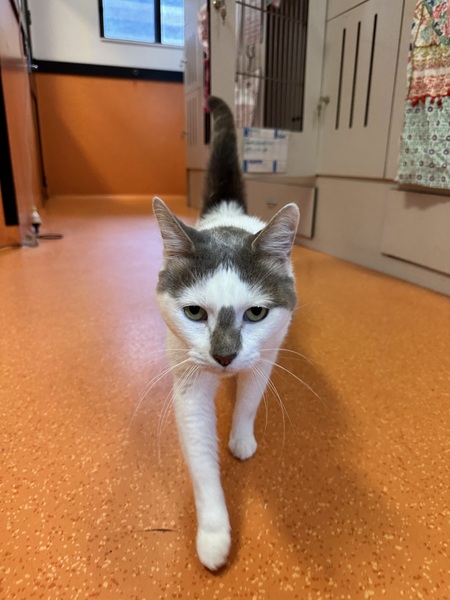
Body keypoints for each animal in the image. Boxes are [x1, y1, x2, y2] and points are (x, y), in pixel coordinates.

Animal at [152, 96, 300, 571]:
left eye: (255, 312)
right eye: (195, 312)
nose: (223, 357)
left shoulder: (267, 353)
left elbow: (250, 401)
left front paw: (240, 439)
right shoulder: (187, 381)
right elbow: (201, 461)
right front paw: (215, 535)